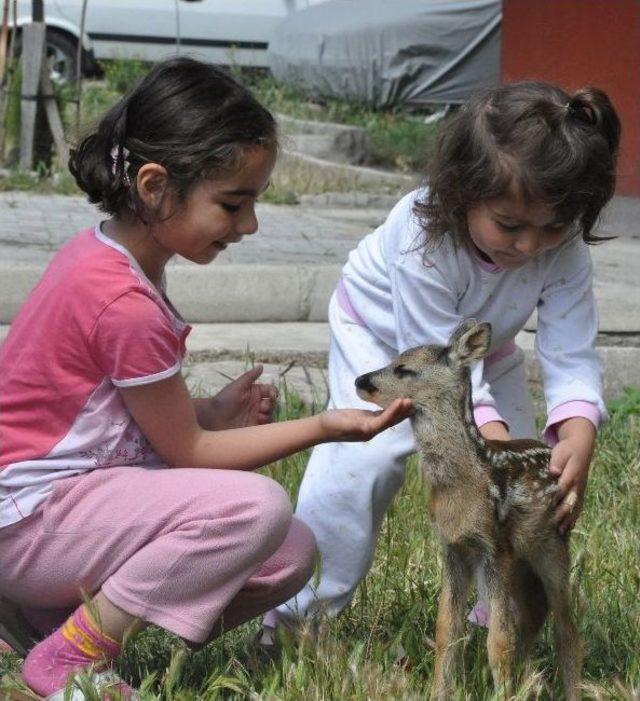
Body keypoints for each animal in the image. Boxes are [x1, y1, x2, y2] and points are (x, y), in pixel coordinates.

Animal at [358, 320, 584, 696]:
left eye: (404, 369)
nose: (361, 381)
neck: (465, 481)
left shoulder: (494, 548)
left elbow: (499, 640)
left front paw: (502, 695)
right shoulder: (455, 547)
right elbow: (447, 630)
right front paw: (440, 693)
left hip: (553, 546)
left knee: (566, 629)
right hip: (521, 563)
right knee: (532, 617)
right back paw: (528, 682)